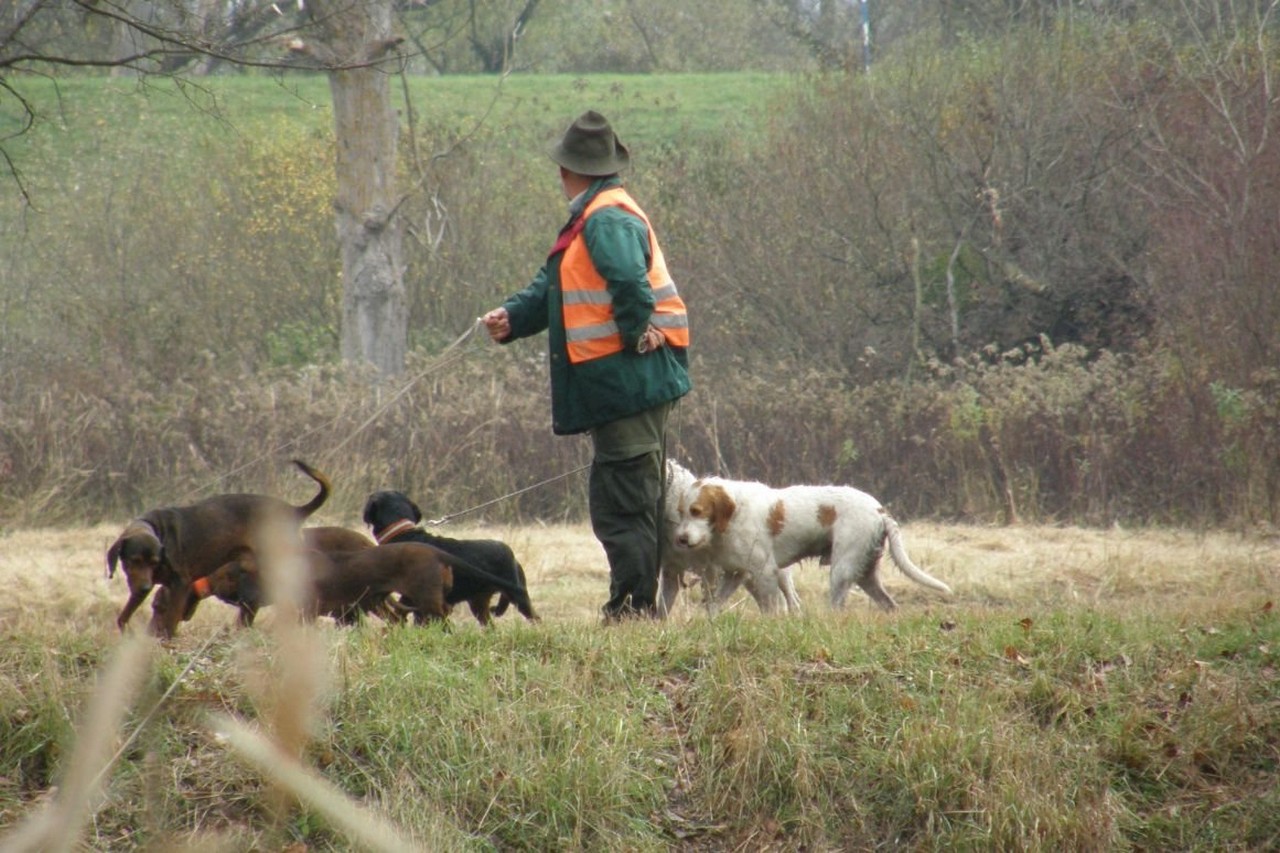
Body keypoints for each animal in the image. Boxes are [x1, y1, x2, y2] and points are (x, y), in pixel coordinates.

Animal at [670, 471, 952, 612]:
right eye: (681, 512)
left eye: (697, 511)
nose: (680, 539)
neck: (736, 512)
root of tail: (879, 510)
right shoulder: (735, 574)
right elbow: (712, 606)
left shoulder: (766, 573)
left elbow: (774, 609)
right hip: (866, 575)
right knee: (890, 605)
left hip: (841, 572)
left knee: (837, 610)